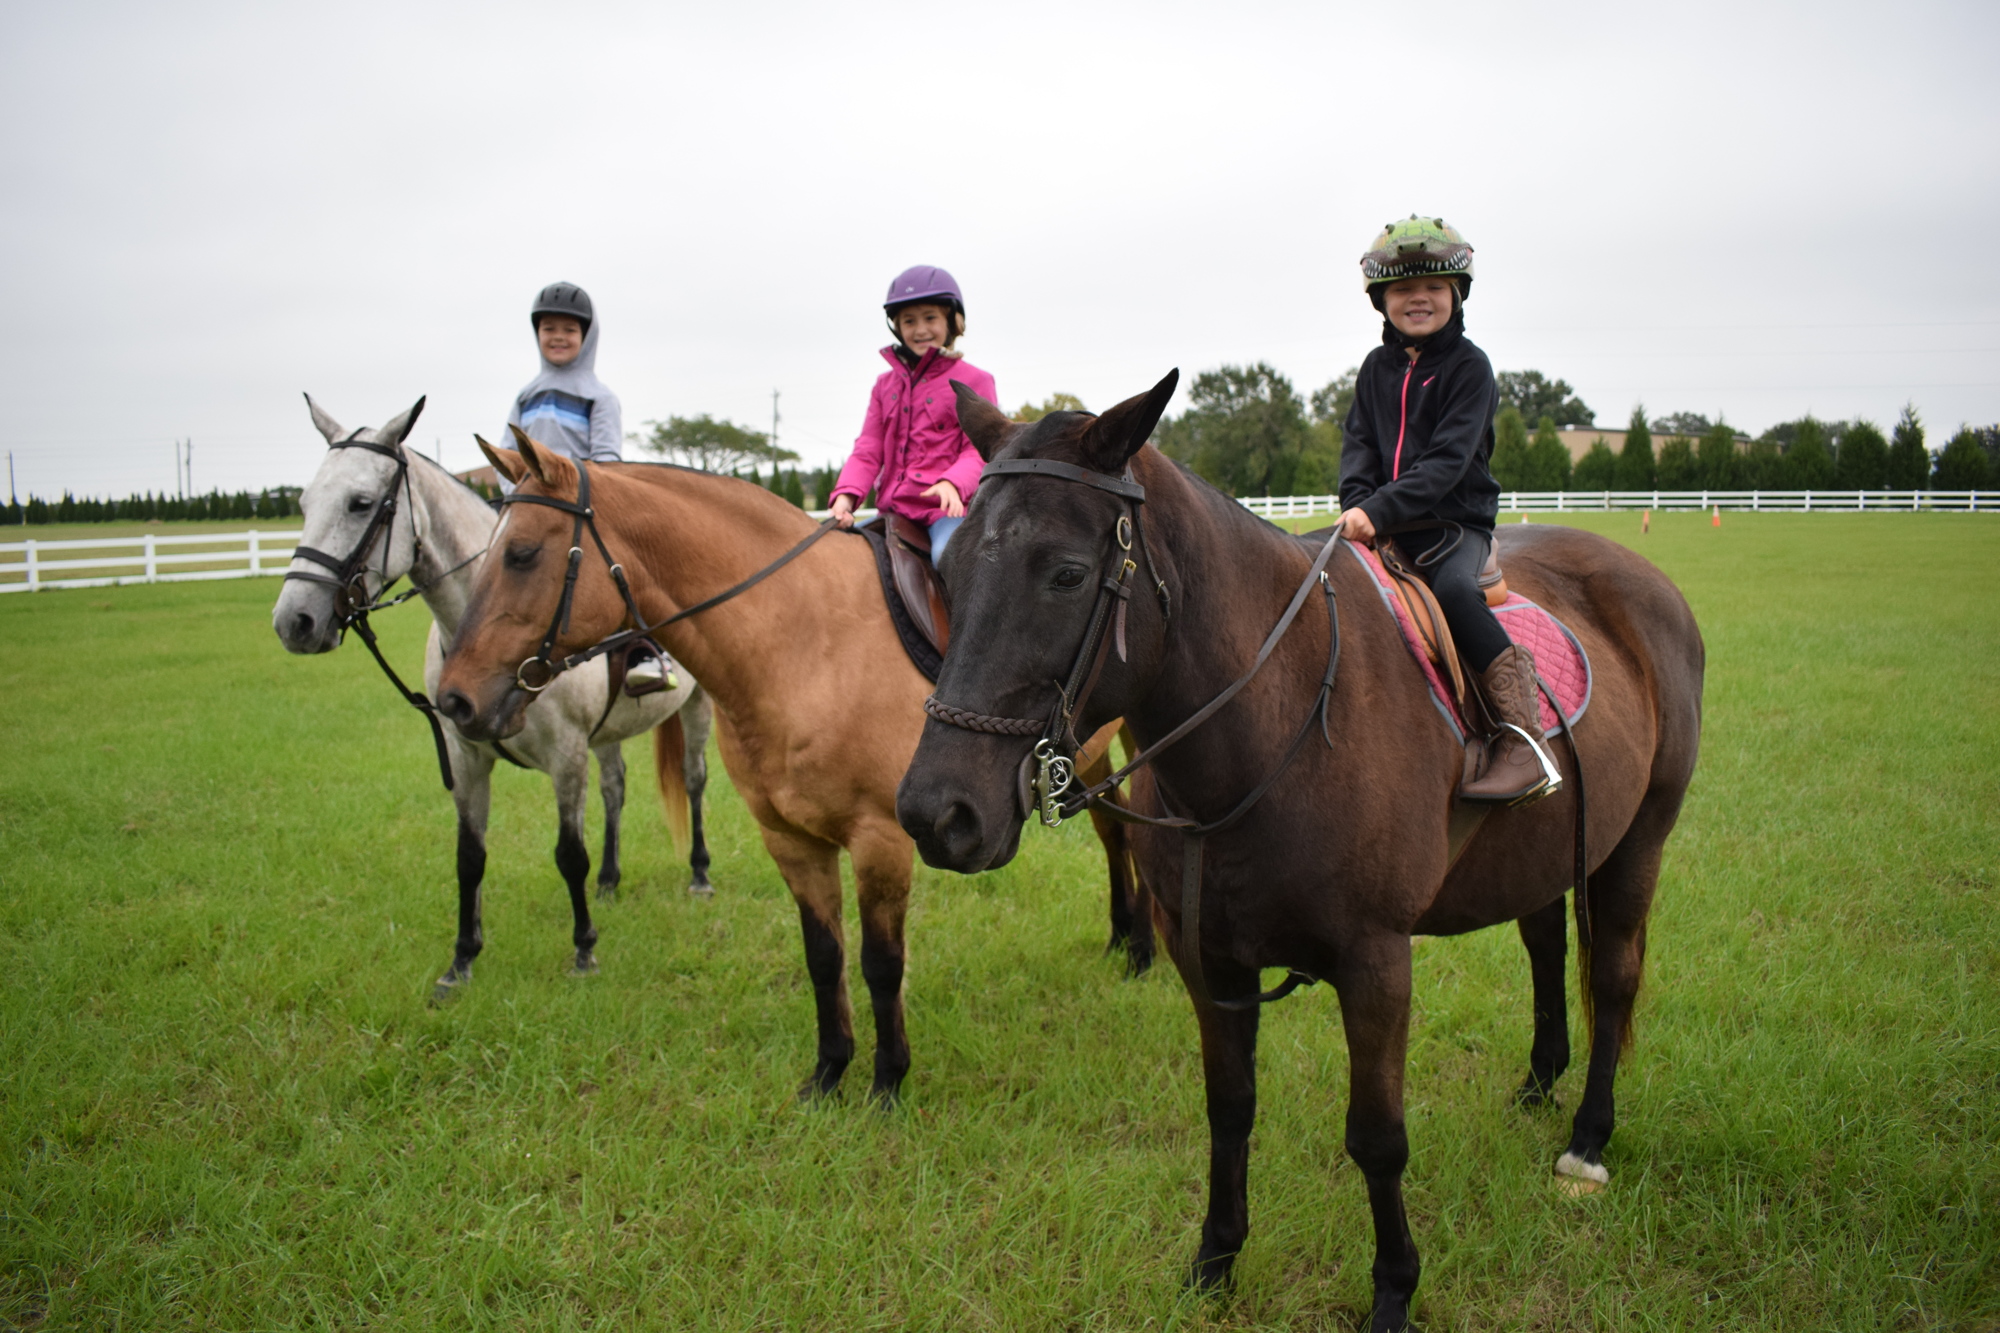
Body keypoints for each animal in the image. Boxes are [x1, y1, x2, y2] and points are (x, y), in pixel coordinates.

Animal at [274, 394, 720, 996]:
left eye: (360, 503)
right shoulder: (466, 758)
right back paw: (609, 881)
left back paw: (698, 873)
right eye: (303, 502)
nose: (294, 621)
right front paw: (461, 960)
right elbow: (470, 856)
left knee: (693, 781)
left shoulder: (566, 756)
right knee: (615, 789)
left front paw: (584, 950)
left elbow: (569, 854)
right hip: (606, 735)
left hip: (697, 708)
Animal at [434, 438, 1160, 1096]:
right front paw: (830, 1071)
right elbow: (824, 955)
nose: (454, 698)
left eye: (522, 553)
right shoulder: (789, 840)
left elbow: (880, 962)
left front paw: (887, 1081)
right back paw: (1120, 938)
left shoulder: (881, 840)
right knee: (1113, 835)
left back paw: (1145, 950)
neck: (804, 643)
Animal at [904, 368, 1704, 1320]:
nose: (936, 811)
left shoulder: (1376, 962)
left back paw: (1586, 1137)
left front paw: (1393, 1290)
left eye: (1065, 572)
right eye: (946, 568)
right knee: (1547, 945)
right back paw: (1539, 1083)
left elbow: (1378, 1137)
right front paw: (1215, 1261)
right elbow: (1229, 1106)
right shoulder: (1207, 959)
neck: (1275, 725)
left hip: (1640, 840)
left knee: (1612, 977)